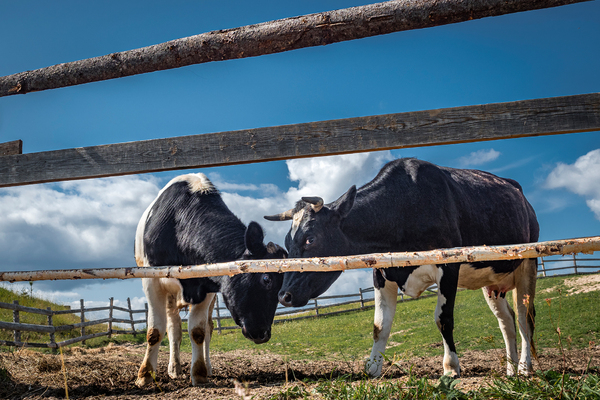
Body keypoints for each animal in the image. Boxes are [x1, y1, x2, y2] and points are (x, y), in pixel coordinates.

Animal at [136, 173, 286, 386]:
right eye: (266, 279)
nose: (263, 334)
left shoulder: (206, 286)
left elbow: (198, 331)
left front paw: (199, 374)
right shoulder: (151, 281)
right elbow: (154, 331)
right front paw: (145, 375)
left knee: (206, 329)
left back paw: (205, 367)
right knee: (173, 327)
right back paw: (174, 368)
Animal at [268, 159, 540, 378]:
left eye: (310, 239)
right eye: (287, 242)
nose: (283, 296)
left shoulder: (448, 266)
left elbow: (443, 319)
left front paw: (451, 367)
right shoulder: (380, 273)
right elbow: (380, 326)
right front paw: (373, 369)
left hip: (529, 261)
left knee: (524, 317)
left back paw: (525, 367)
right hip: (492, 281)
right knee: (506, 321)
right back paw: (510, 369)